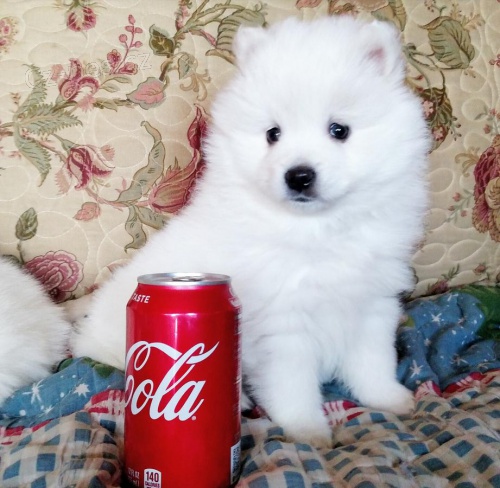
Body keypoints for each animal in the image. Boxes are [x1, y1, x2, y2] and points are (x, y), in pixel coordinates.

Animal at [71, 16, 430, 446]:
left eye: (339, 130)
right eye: (273, 134)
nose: (299, 176)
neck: (318, 229)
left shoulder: (373, 302)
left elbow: (373, 361)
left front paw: (390, 398)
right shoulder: (283, 325)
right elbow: (293, 383)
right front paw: (308, 430)